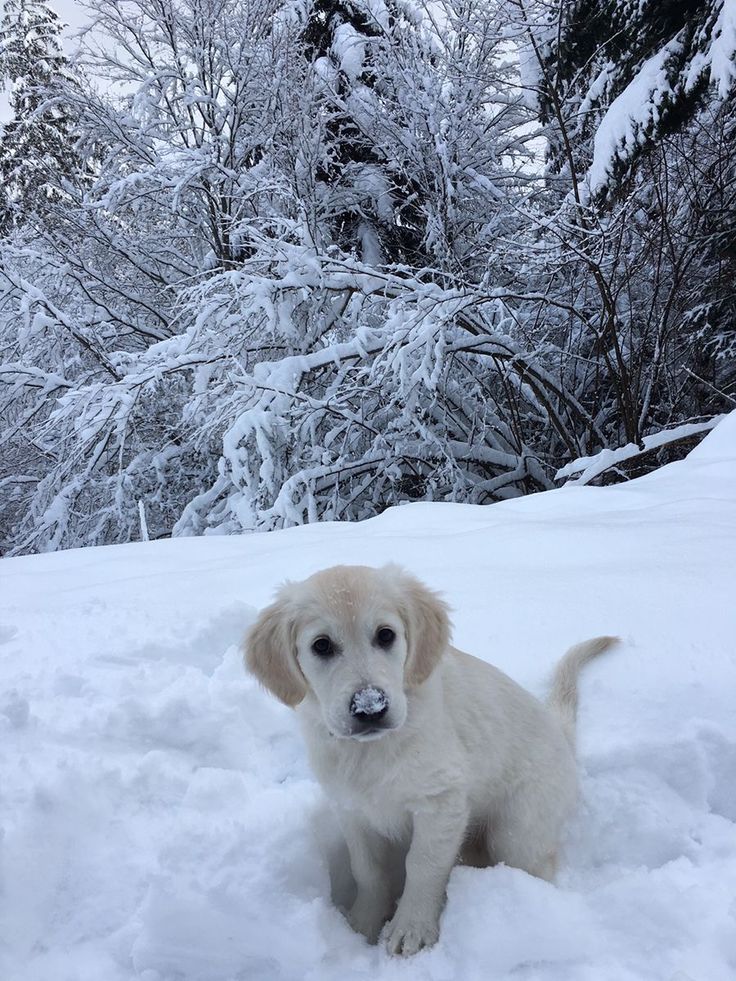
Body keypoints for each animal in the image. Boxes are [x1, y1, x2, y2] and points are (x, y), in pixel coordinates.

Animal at [246, 564, 616, 952]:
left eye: (386, 635)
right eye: (321, 645)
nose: (370, 707)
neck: (373, 750)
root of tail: (561, 732)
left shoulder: (441, 801)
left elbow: (422, 865)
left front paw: (411, 928)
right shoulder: (351, 808)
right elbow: (367, 869)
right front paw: (363, 923)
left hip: (517, 830)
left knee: (535, 865)